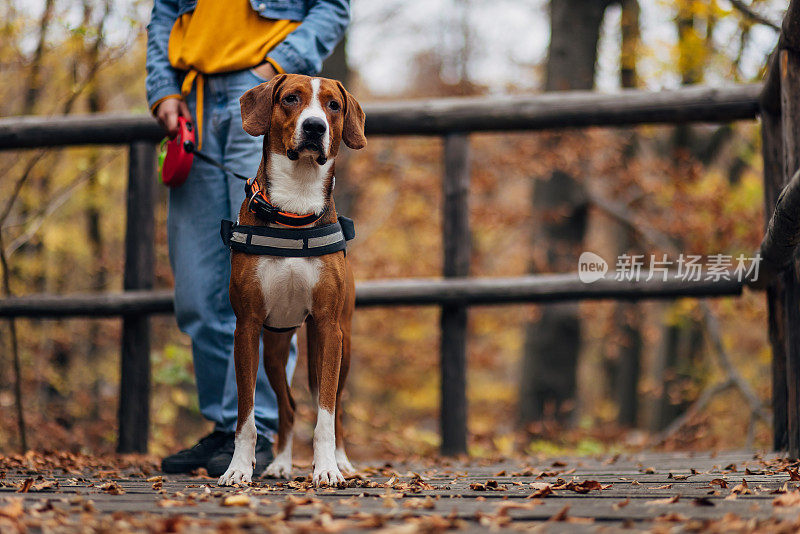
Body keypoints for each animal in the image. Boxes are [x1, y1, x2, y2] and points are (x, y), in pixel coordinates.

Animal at [219, 73, 368, 488]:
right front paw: (238, 468)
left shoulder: (329, 327)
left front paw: (328, 468)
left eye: (333, 105)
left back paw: (343, 461)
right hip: (275, 344)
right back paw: (282, 463)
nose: (315, 126)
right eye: (290, 99)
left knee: (336, 406)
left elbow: (326, 414)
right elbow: (247, 415)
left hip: (339, 342)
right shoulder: (247, 327)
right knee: (287, 406)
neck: (294, 209)